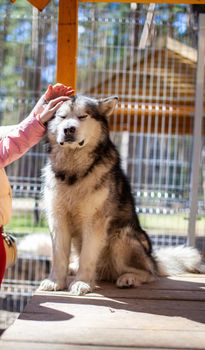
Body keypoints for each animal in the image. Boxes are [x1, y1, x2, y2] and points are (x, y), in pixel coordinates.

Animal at [39, 95, 204, 296]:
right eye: (61, 117)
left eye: (83, 116)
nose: (68, 129)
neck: (74, 172)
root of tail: (153, 259)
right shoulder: (57, 218)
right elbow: (59, 255)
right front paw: (55, 281)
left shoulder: (95, 220)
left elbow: (88, 256)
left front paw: (82, 282)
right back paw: (75, 267)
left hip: (122, 236)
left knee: (149, 273)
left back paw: (129, 278)